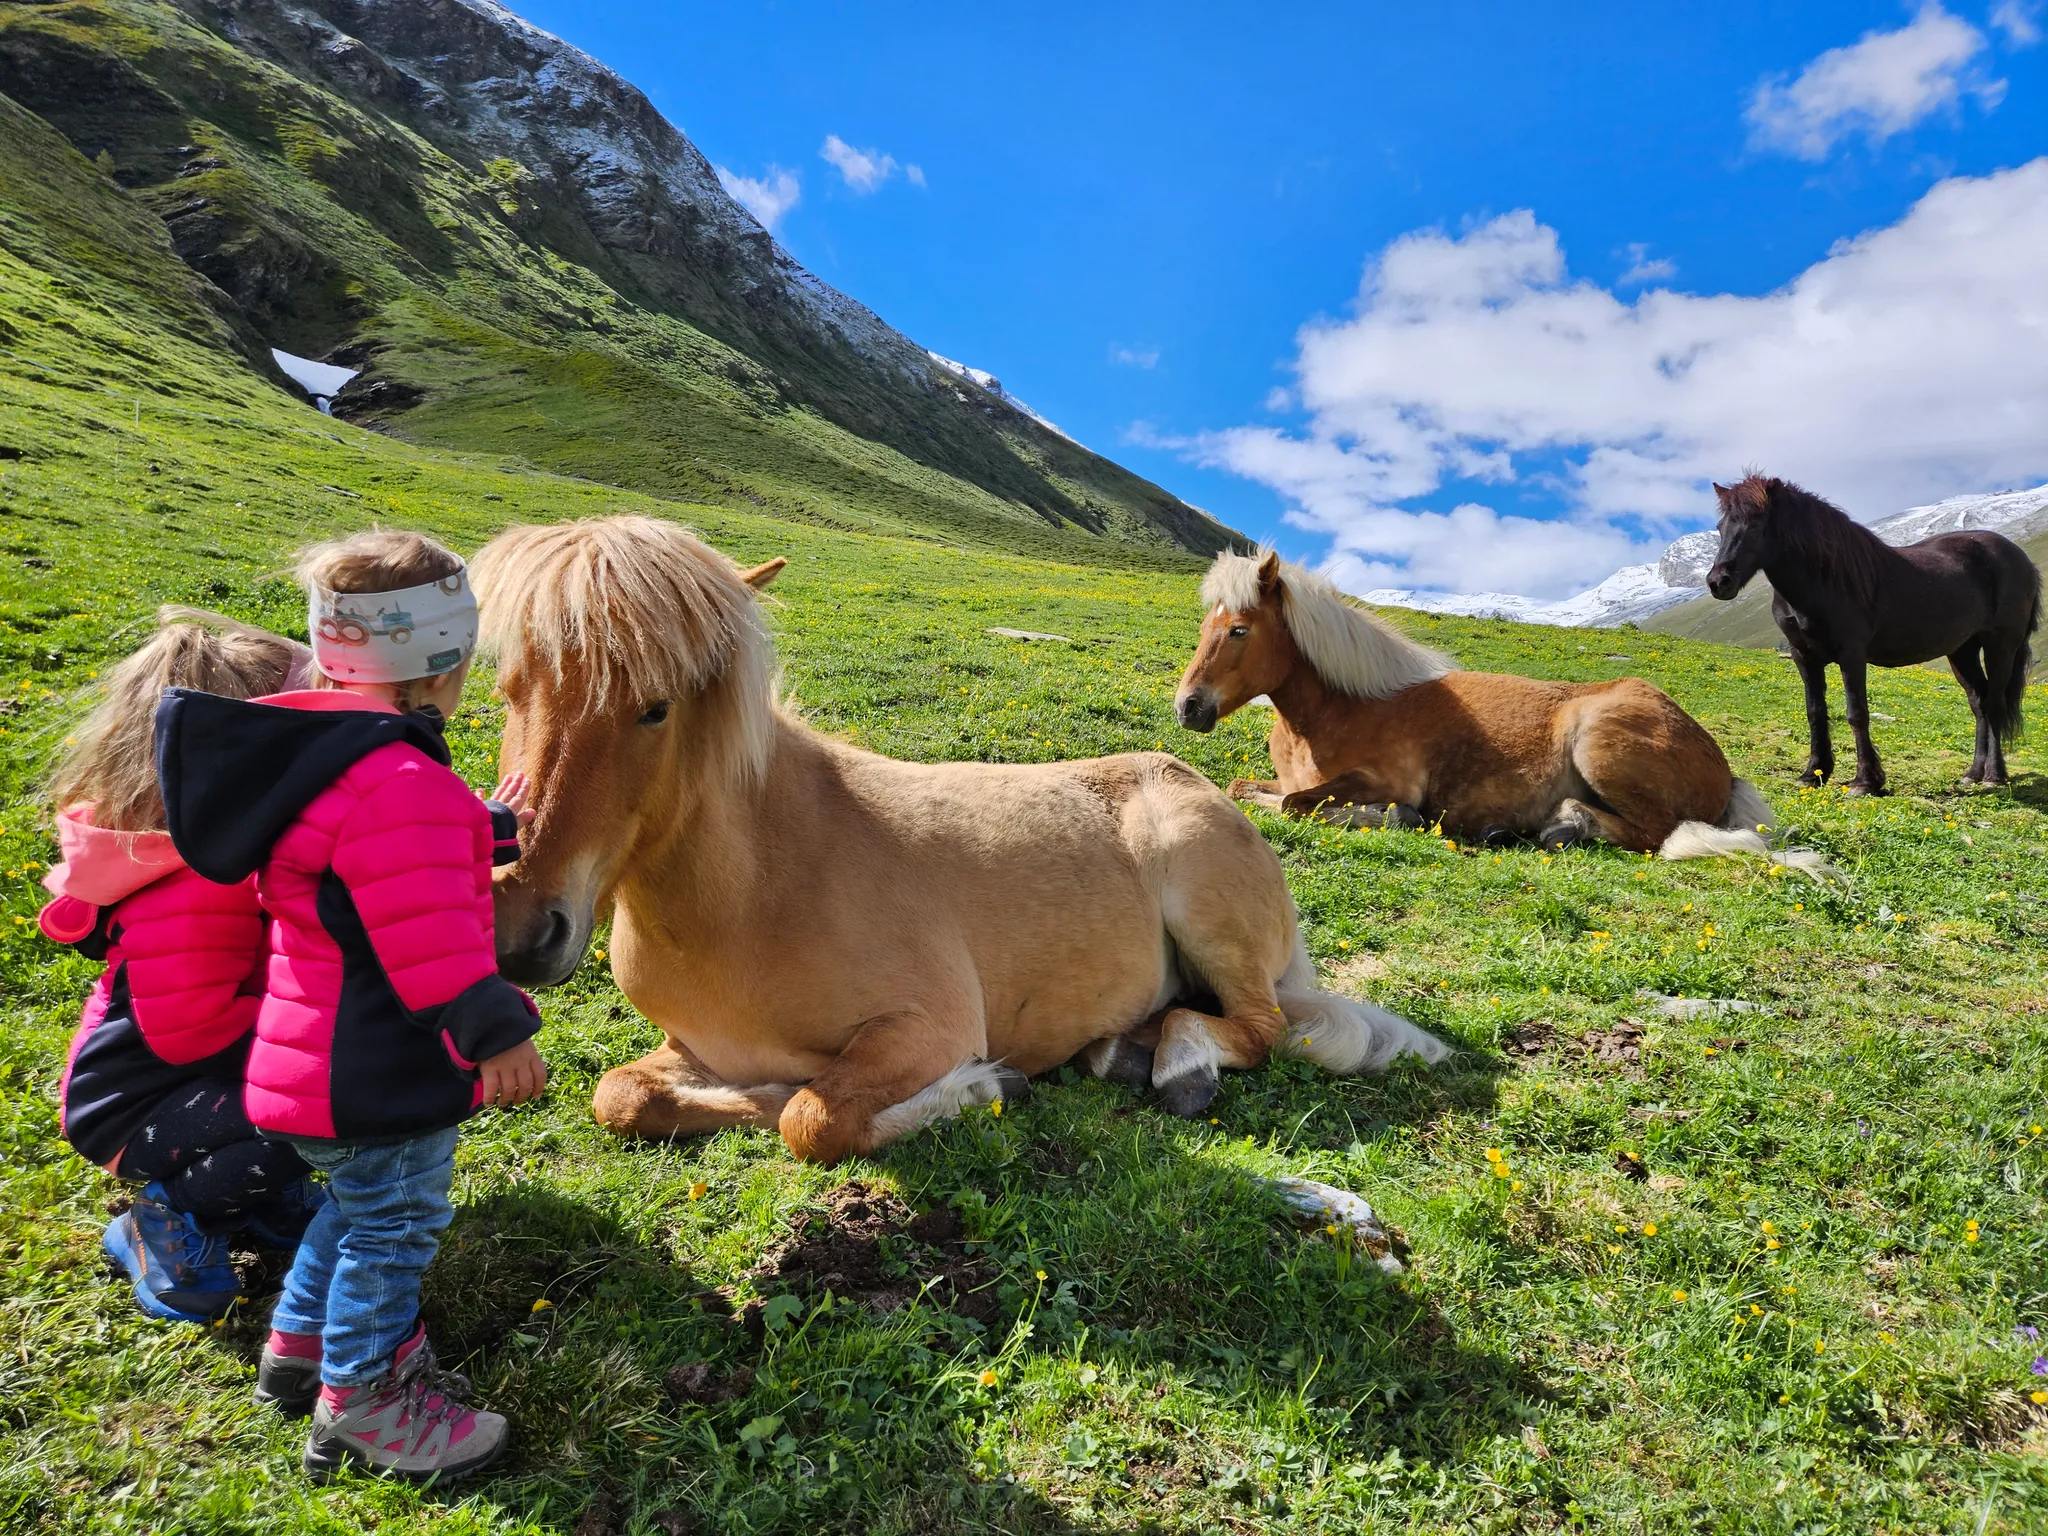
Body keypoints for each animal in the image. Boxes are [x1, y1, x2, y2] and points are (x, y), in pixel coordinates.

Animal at [471, 516, 1449, 1164]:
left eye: (655, 708)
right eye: (511, 689)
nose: (519, 932)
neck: (757, 886)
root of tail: (1201, 783)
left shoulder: (927, 1028)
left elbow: (810, 1119)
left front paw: (979, 1087)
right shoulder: (687, 1047)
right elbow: (622, 1094)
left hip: (1211, 916)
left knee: (1259, 1025)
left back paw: (1175, 1067)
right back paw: (1118, 1050)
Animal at [1175, 549, 1827, 872]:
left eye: (1238, 630)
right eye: (1206, 625)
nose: (1188, 708)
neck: (1336, 710)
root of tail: (1721, 764)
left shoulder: (1384, 780)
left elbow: (1298, 804)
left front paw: (1391, 818)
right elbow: (1245, 789)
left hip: (1599, 745)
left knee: (1656, 834)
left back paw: (1564, 825)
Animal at [1706, 475, 2041, 793]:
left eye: (1756, 525)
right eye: (1721, 526)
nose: (1718, 582)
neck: (1823, 578)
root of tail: (2021, 558)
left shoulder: (1852, 654)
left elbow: (1857, 713)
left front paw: (1865, 782)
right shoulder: (1804, 656)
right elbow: (1815, 712)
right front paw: (1813, 773)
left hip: (2001, 645)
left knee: (1994, 704)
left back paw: (1994, 776)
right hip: (1962, 650)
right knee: (1979, 703)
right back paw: (1972, 774)